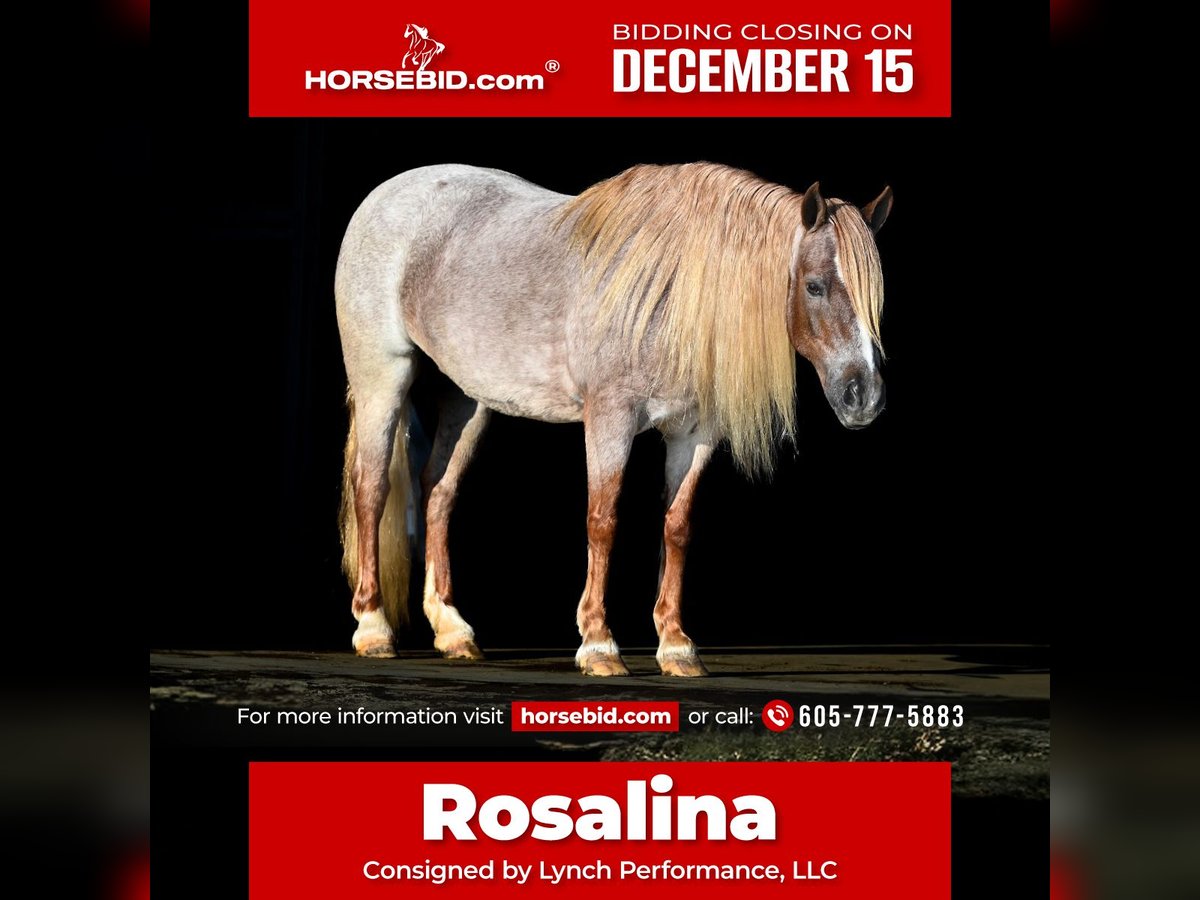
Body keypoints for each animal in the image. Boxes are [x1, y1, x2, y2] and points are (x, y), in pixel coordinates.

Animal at [336, 163, 892, 676]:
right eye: (815, 287)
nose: (863, 397)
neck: (672, 292)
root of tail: (385, 194)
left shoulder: (695, 433)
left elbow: (677, 526)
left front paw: (676, 646)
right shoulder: (610, 417)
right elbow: (602, 521)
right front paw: (598, 644)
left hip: (467, 399)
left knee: (439, 492)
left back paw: (452, 630)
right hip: (382, 373)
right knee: (372, 487)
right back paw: (373, 627)